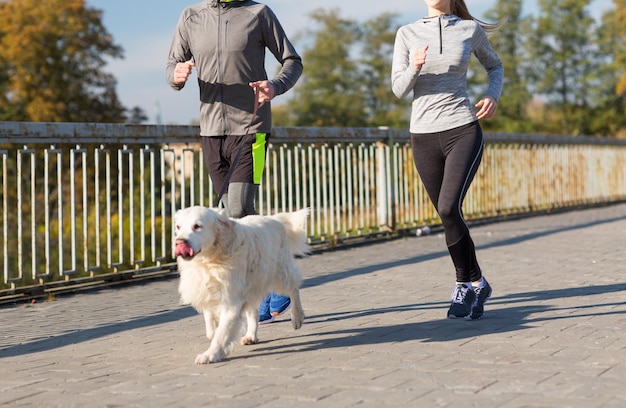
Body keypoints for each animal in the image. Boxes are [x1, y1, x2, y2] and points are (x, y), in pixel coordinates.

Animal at [172, 206, 308, 364]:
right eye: (178, 227)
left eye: (197, 226)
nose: (179, 242)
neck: (210, 260)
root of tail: (274, 219)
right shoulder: (206, 289)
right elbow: (210, 320)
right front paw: (212, 334)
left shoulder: (231, 301)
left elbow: (221, 333)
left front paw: (210, 354)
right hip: (252, 286)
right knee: (253, 311)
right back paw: (250, 336)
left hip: (281, 274)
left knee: (294, 288)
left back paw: (297, 317)